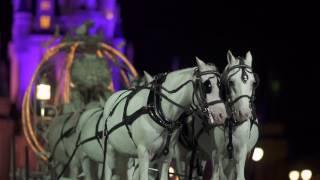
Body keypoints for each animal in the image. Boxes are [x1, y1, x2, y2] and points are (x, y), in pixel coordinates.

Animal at [76, 58, 228, 179]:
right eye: (207, 85)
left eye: (221, 86)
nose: (222, 115)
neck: (158, 110)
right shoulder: (144, 154)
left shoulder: (166, 156)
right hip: (110, 153)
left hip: (126, 154)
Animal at [212, 50, 260, 180]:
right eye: (231, 82)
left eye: (253, 83)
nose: (243, 114)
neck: (231, 124)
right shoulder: (217, 153)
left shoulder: (241, 152)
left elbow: (240, 176)